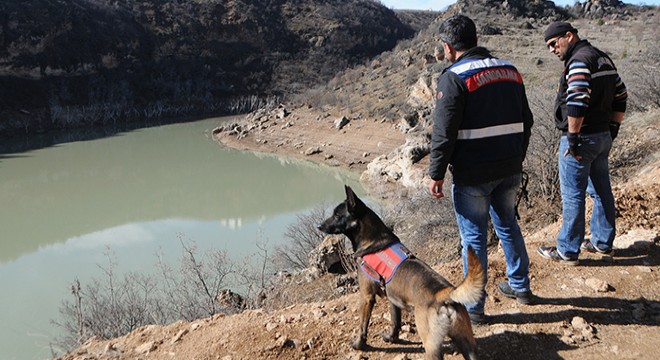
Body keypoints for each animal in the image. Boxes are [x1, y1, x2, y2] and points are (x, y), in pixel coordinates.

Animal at [320, 186, 484, 360]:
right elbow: (395, 321)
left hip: (432, 345)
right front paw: (392, 338)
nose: (320, 226)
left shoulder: (366, 296)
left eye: (337, 215)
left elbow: (363, 326)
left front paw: (359, 344)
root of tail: (444, 294)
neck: (373, 238)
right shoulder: (393, 299)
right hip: (467, 342)